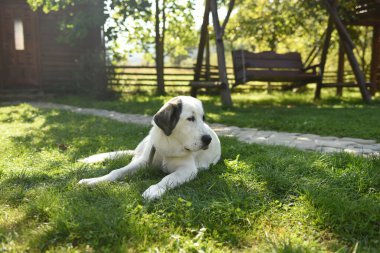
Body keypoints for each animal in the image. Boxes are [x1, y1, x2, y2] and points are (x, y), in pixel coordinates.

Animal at [78, 96, 220, 201]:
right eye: (190, 119)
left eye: (203, 118)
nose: (208, 139)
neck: (169, 143)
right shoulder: (144, 162)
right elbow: (117, 171)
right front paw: (95, 180)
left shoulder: (187, 169)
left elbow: (168, 178)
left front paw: (154, 189)